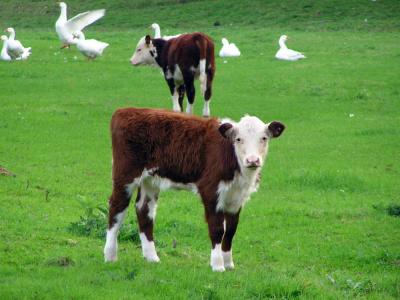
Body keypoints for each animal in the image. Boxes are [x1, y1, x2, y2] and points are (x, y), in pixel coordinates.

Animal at [103, 108, 284, 272]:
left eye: (264, 138)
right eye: (238, 139)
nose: (252, 160)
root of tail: (125, 111)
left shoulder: (237, 197)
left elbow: (231, 230)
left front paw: (229, 264)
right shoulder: (211, 191)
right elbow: (217, 229)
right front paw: (218, 265)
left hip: (150, 180)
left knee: (144, 211)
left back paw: (152, 257)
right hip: (125, 174)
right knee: (117, 209)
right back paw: (110, 255)